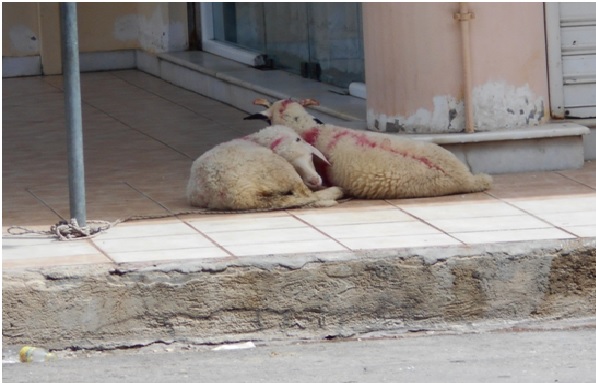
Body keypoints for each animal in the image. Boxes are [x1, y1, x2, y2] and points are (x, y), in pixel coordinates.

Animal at [186, 125, 344, 210]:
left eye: (311, 157)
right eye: (296, 165)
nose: (315, 180)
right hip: (280, 170)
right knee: (305, 195)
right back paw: (336, 192)